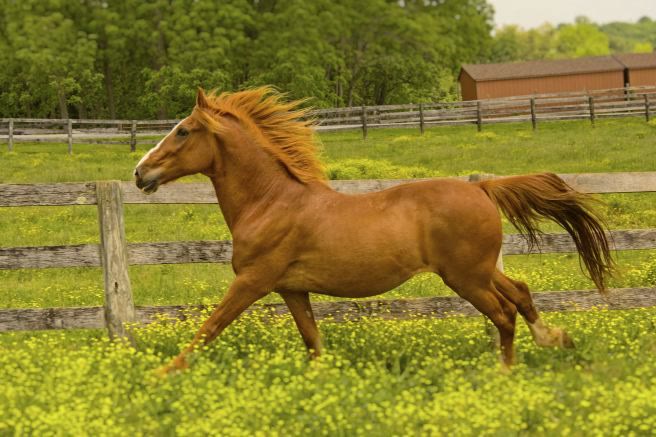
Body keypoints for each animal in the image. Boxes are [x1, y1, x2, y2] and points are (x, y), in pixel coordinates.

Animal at [134, 87, 614, 375]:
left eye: (183, 131)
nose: (140, 173)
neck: (270, 202)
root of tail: (482, 187)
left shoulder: (253, 281)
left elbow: (209, 327)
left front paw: (161, 373)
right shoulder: (292, 288)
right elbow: (312, 340)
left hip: (465, 278)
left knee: (504, 313)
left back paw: (505, 372)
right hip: (478, 270)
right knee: (521, 292)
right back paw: (555, 339)